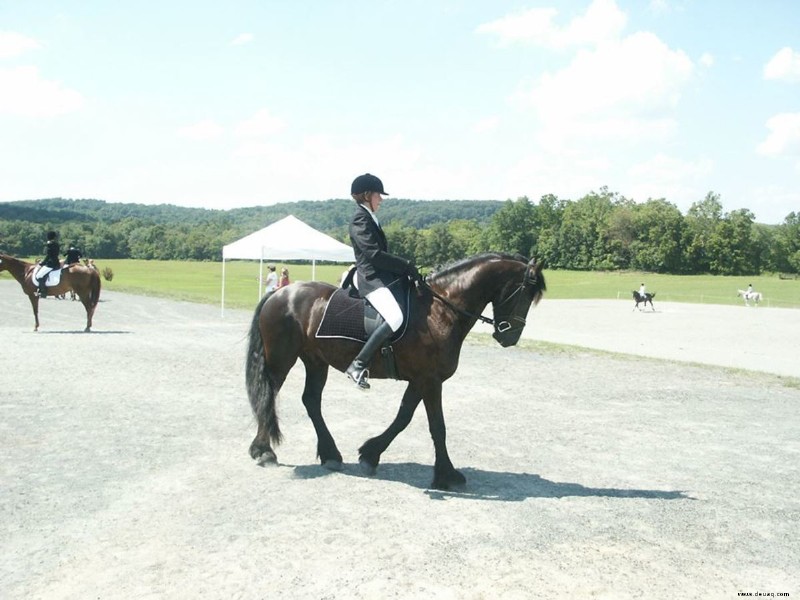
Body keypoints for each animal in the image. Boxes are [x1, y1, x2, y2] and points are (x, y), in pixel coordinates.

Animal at [244, 251, 544, 490]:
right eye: (525, 293)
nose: (509, 337)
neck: (441, 309)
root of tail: (279, 293)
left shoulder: (422, 380)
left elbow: (403, 417)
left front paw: (370, 454)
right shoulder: (430, 380)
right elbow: (437, 426)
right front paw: (447, 475)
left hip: (316, 362)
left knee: (311, 401)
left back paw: (330, 455)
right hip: (281, 360)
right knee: (268, 397)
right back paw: (264, 452)